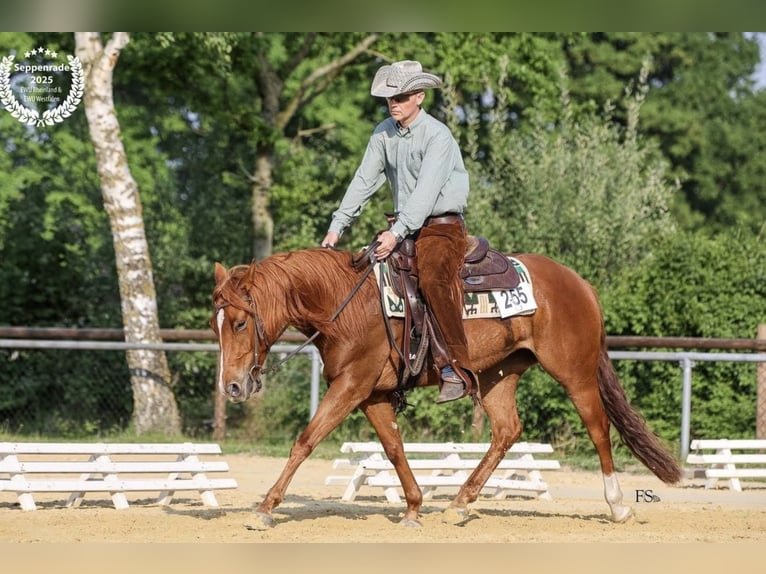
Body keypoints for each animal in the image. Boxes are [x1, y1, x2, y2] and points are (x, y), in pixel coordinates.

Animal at [211, 247, 682, 529]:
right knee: (507, 430)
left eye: (240, 323)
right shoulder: (372, 395)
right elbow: (394, 448)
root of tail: (580, 284)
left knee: (598, 428)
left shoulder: (350, 386)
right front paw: (414, 507)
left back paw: (617, 505)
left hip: (575, 374)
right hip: (497, 375)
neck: (347, 303)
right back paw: (459, 502)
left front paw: (265, 508)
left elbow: (305, 441)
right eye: (216, 325)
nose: (232, 386)